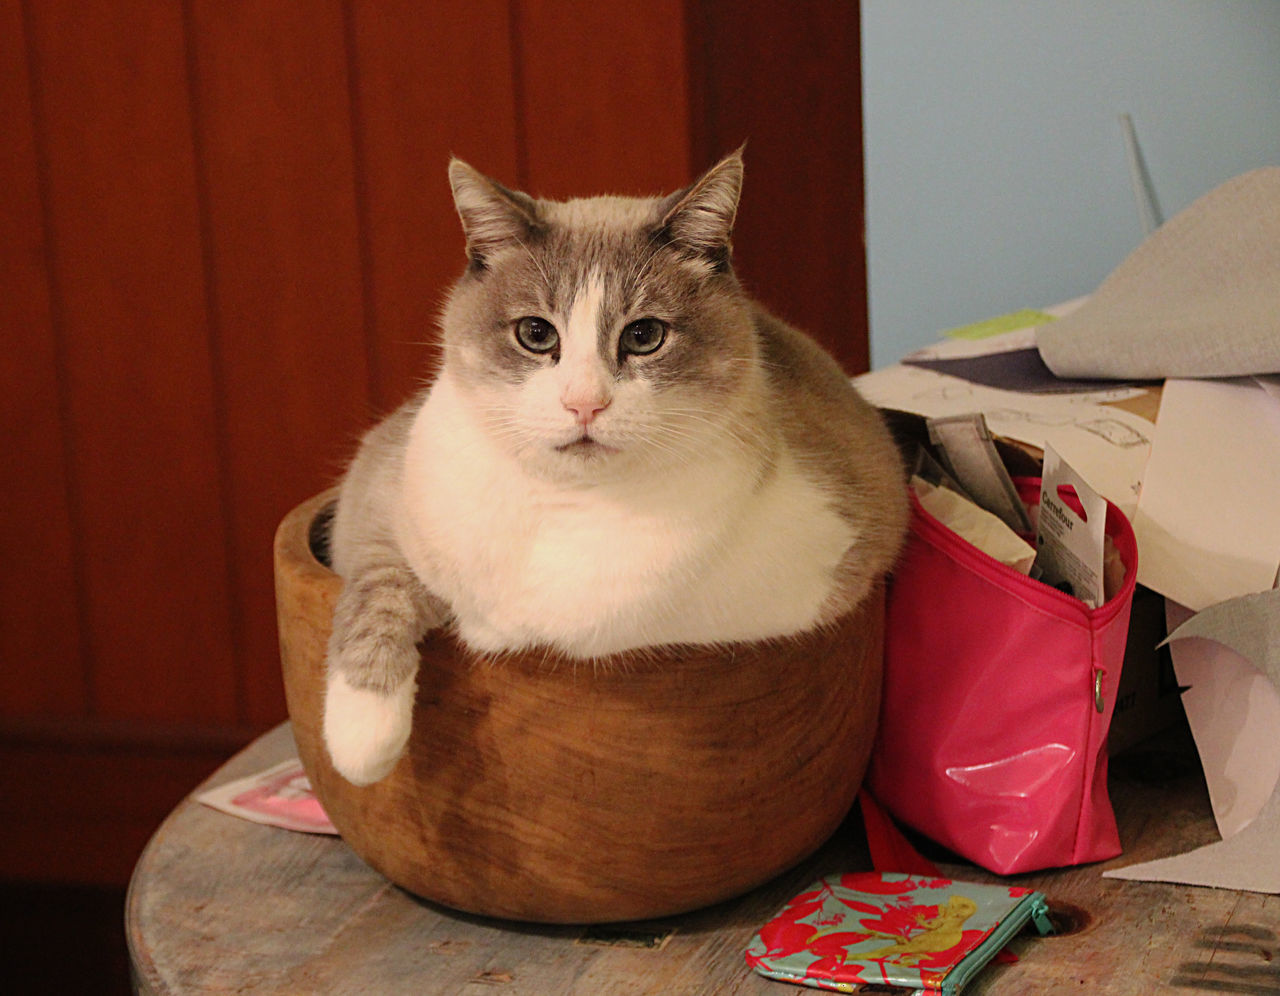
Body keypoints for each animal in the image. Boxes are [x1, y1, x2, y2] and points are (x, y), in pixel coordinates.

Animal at [320, 149, 906, 783]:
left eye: (645, 335)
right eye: (535, 333)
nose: (584, 403)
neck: (567, 504)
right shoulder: (382, 491)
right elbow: (378, 588)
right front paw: (363, 736)